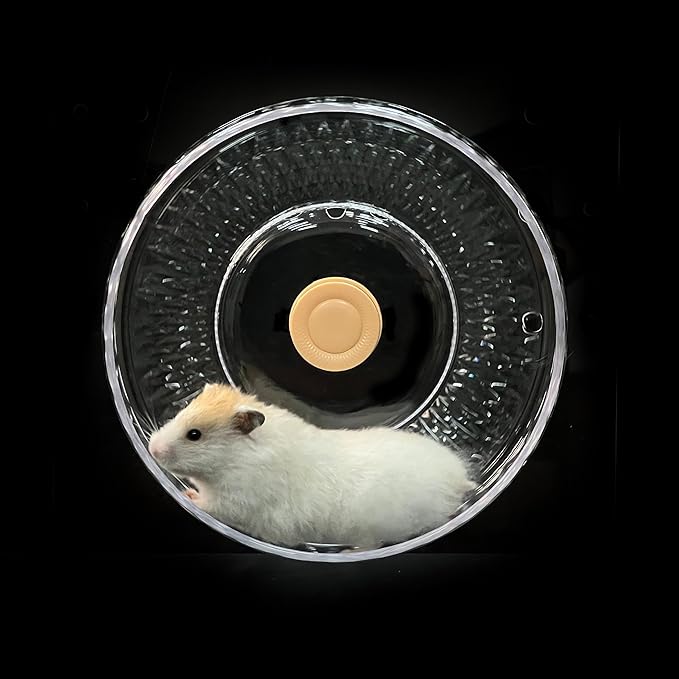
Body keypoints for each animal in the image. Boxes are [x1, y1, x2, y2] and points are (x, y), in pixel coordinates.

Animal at [149, 383, 476, 549]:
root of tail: (459, 480)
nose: (151, 449)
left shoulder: (238, 501)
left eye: (194, 435)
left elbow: (211, 506)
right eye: (180, 412)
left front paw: (188, 496)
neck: (235, 458)